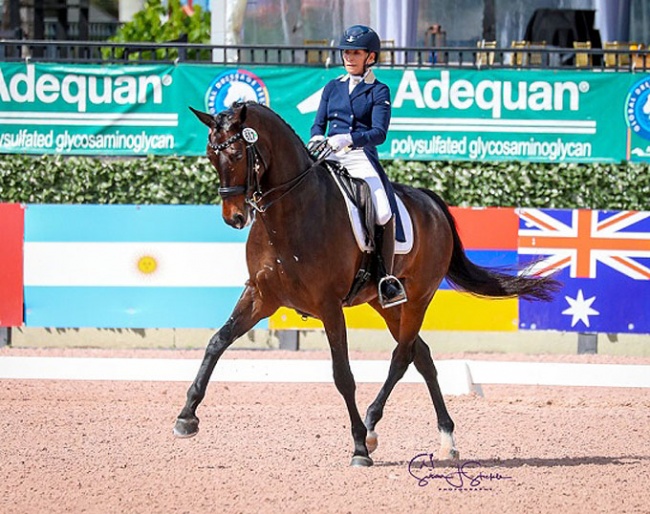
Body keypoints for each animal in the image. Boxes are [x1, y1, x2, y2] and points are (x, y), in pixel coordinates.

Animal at [173, 100, 556, 464]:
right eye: (210, 155)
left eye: (238, 154)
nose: (235, 217)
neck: (290, 212)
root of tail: (431, 202)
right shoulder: (260, 296)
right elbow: (217, 342)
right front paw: (186, 417)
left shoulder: (328, 306)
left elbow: (343, 374)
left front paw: (358, 447)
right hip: (385, 303)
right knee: (422, 355)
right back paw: (445, 438)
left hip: (419, 298)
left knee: (402, 356)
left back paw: (372, 428)